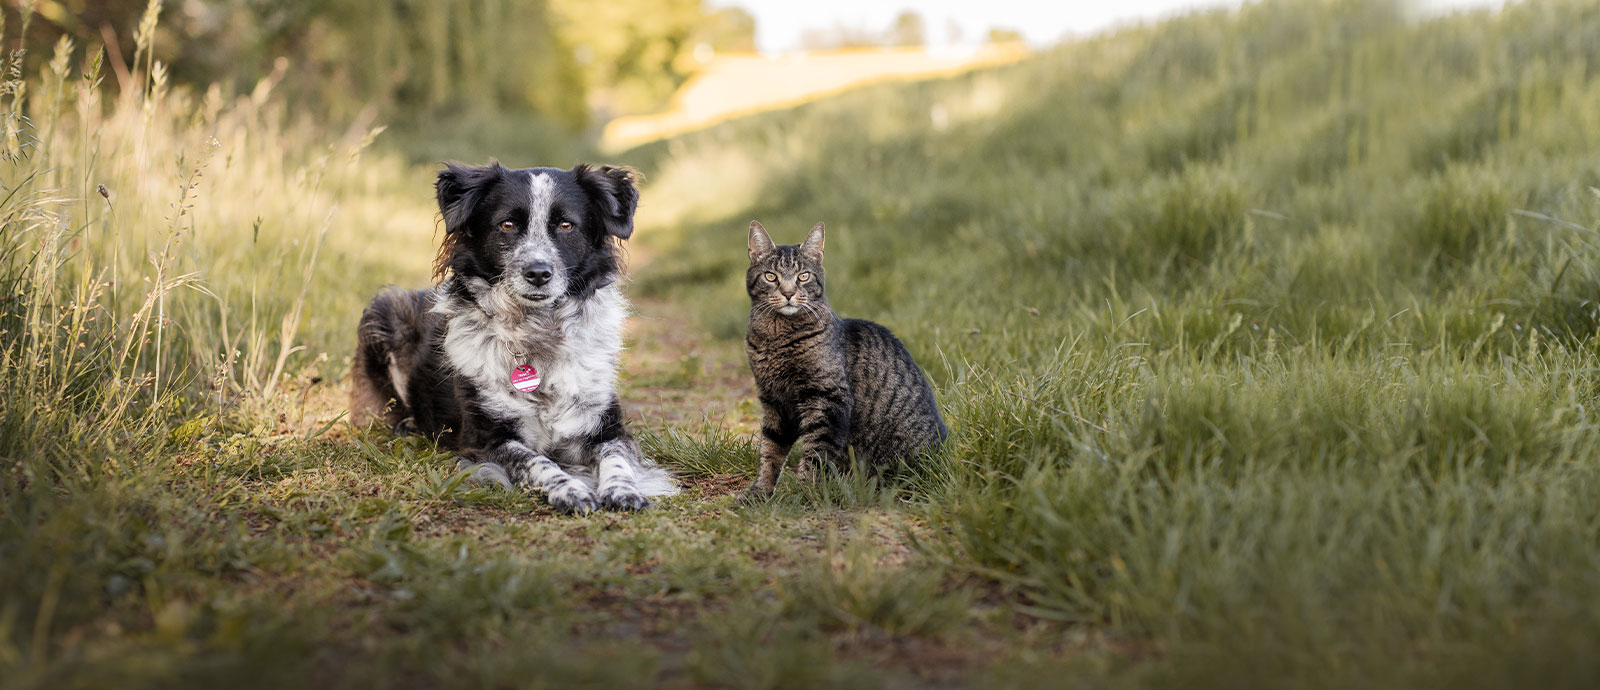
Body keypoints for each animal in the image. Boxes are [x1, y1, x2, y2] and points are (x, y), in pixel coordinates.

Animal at [350, 161, 675, 512]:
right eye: (506, 225)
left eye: (566, 225)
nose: (538, 273)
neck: (538, 331)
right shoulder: (485, 438)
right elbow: (536, 461)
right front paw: (570, 489)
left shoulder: (607, 428)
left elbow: (617, 458)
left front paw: (622, 489)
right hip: (386, 308)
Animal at [739, 219, 947, 499]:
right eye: (771, 276)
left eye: (803, 276)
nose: (788, 293)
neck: (775, 336)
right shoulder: (774, 402)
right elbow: (769, 452)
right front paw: (760, 492)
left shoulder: (827, 399)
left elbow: (814, 455)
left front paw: (804, 496)